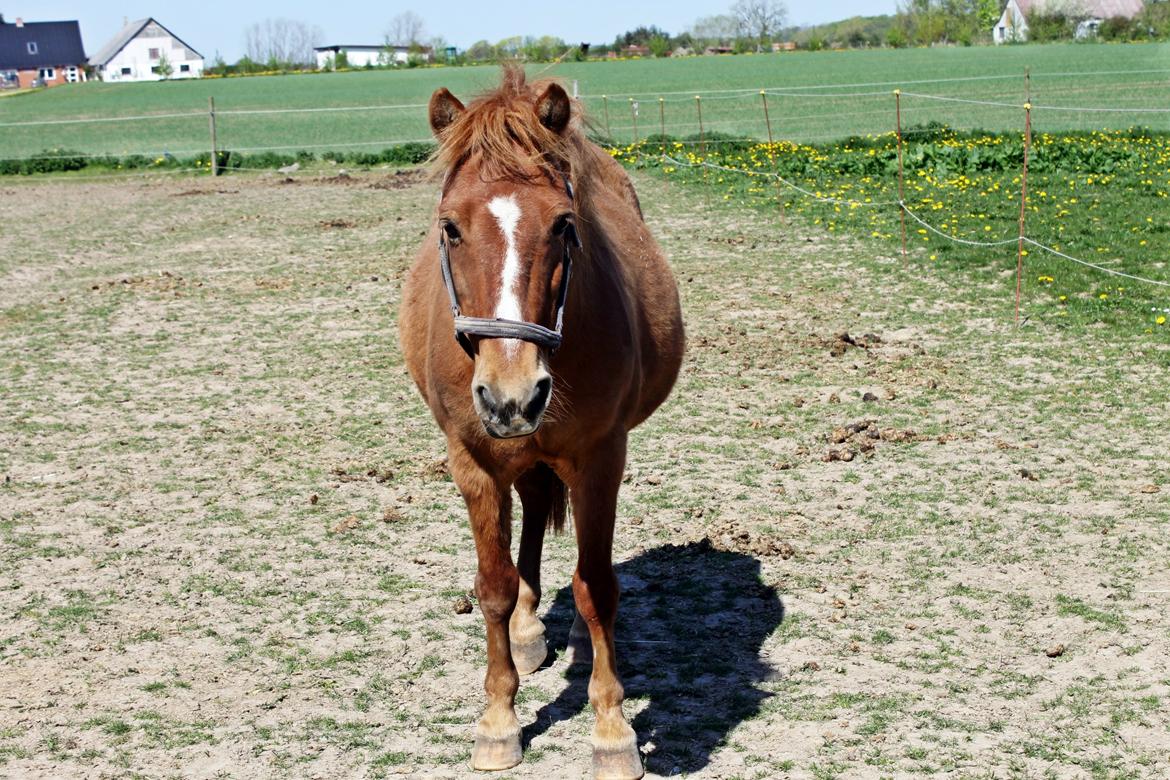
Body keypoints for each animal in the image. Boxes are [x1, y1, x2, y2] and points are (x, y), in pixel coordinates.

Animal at [397, 68, 683, 780]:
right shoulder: (473, 459)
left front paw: (611, 731)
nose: (512, 395)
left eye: (564, 225)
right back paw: (528, 633)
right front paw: (499, 720)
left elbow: (596, 586)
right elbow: (494, 587)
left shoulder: (601, 456)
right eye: (450, 227)